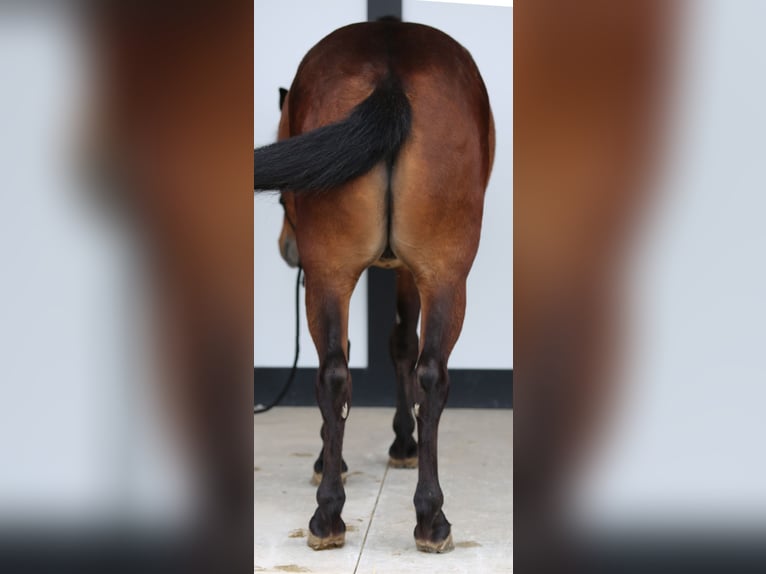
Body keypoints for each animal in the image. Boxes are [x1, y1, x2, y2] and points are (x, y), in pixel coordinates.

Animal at [254, 19, 494, 553]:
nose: (287, 250)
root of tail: (389, 71)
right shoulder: (405, 270)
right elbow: (401, 345)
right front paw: (400, 444)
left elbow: (388, 347)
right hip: (439, 276)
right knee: (422, 373)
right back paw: (423, 518)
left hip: (343, 274)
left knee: (339, 371)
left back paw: (339, 515)